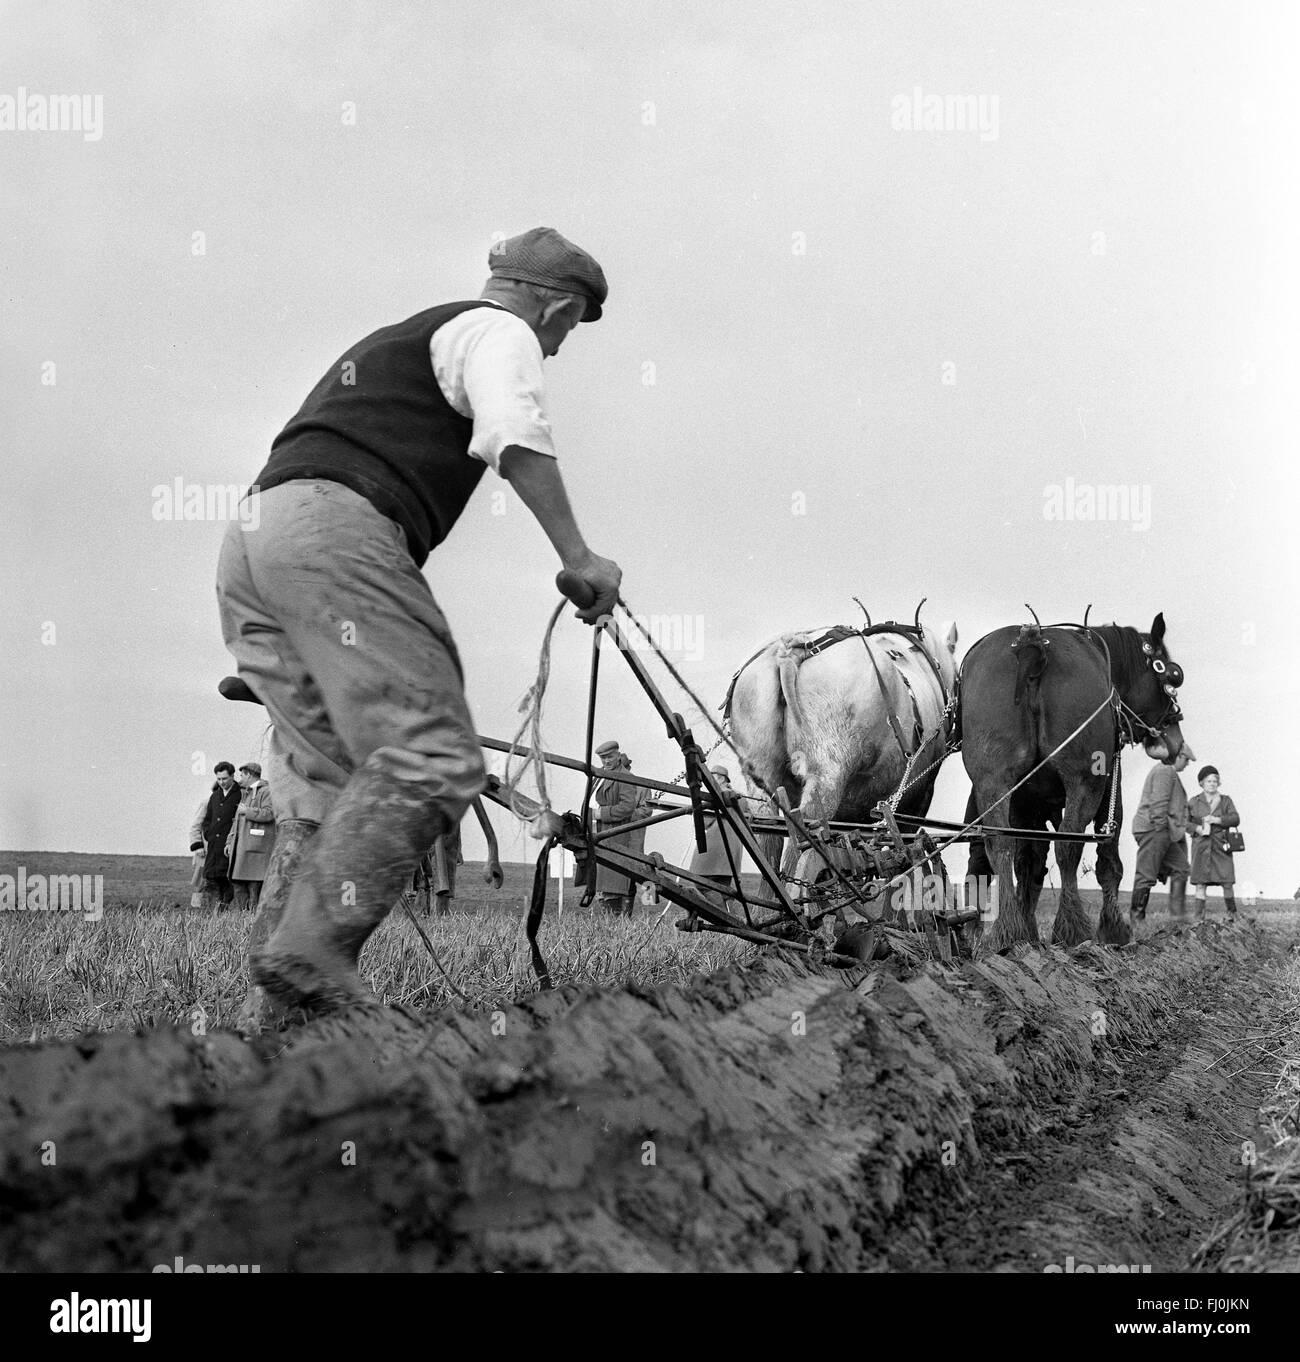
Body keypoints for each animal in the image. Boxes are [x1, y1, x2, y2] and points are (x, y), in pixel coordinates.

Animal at [959, 615, 1182, 947]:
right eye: (1172, 675)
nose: (1176, 739)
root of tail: (1032, 645)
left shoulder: (1026, 802)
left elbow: (1028, 861)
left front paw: (1027, 928)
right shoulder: (1108, 783)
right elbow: (1108, 857)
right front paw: (1114, 928)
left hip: (992, 782)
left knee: (999, 845)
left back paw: (1006, 930)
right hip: (1084, 782)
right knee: (1068, 843)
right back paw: (1073, 928)